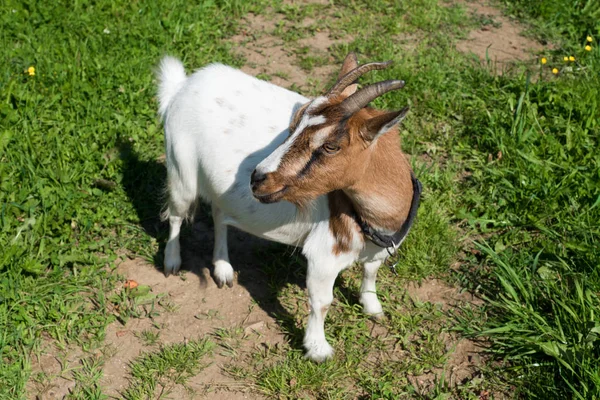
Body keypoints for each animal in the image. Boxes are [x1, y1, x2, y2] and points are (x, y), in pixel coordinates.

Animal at [157, 54, 424, 362]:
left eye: (331, 146)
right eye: (293, 125)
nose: (258, 177)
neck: (379, 220)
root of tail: (183, 85)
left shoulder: (379, 250)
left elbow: (371, 272)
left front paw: (373, 309)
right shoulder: (323, 256)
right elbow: (322, 301)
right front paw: (318, 349)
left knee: (219, 213)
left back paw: (223, 269)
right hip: (181, 170)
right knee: (177, 214)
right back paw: (172, 262)